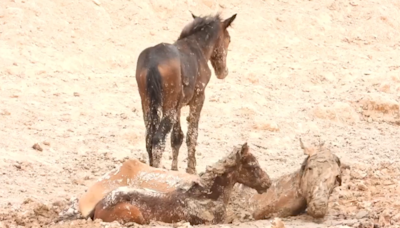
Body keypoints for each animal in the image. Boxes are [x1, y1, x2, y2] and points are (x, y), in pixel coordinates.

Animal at [136, 12, 238, 175]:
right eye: (229, 39)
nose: (224, 72)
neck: (197, 47)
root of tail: (152, 63)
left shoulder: (178, 105)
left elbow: (177, 137)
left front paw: (175, 169)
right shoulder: (198, 98)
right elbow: (192, 134)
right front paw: (191, 169)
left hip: (148, 105)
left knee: (149, 139)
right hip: (168, 108)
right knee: (158, 140)